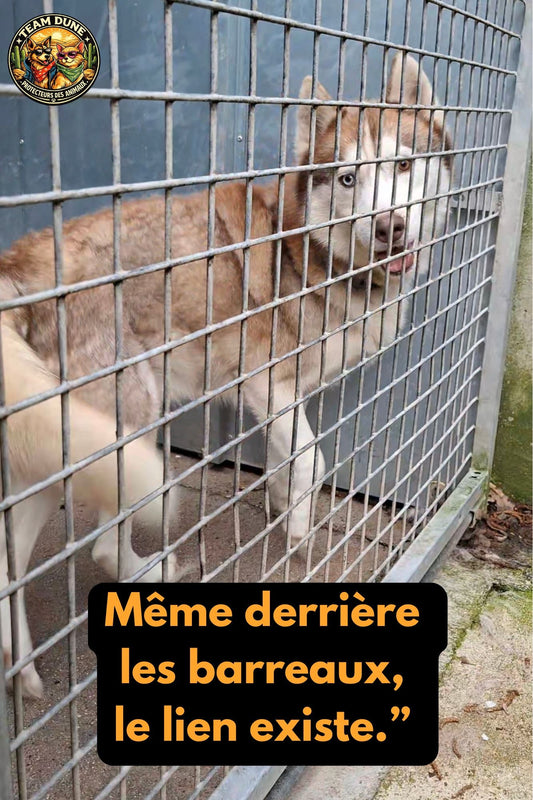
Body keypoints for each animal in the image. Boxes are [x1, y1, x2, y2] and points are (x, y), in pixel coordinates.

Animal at [0, 53, 451, 695]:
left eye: (405, 165)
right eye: (346, 179)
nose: (390, 227)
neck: (315, 254)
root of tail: (24, 260)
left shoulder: (282, 399)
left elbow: (287, 466)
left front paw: (284, 510)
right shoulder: (268, 384)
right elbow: (311, 463)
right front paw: (299, 535)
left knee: (21, 559)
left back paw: (32, 663)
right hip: (123, 426)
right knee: (99, 548)